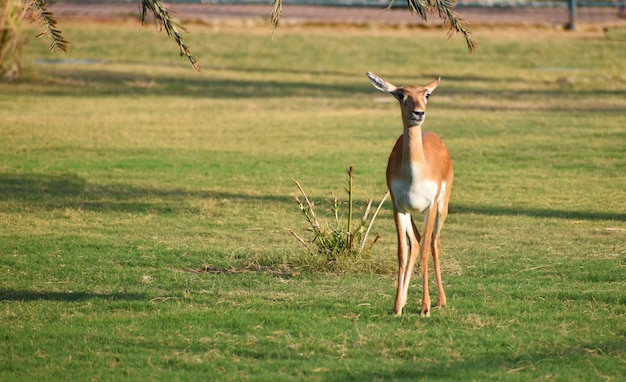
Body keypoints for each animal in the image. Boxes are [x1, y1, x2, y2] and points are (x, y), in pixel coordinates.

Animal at [364, 71, 450, 316]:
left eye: (426, 94)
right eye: (401, 94)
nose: (418, 113)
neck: (415, 175)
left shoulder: (430, 206)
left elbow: (425, 250)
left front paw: (425, 307)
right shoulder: (398, 207)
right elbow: (402, 252)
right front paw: (396, 307)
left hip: (442, 207)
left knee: (433, 244)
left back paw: (441, 300)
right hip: (411, 214)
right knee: (415, 245)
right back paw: (403, 301)